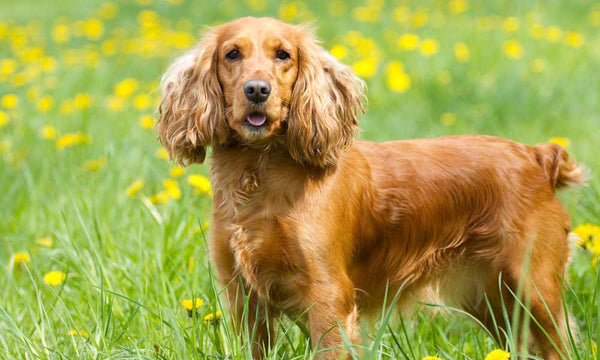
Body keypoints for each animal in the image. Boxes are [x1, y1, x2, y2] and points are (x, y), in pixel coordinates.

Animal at [157, 16, 584, 358]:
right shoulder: (242, 297)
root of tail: (536, 155)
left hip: (535, 289)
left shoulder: (328, 298)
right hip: (494, 300)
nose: (257, 89)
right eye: (232, 54)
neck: (259, 175)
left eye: (283, 55)